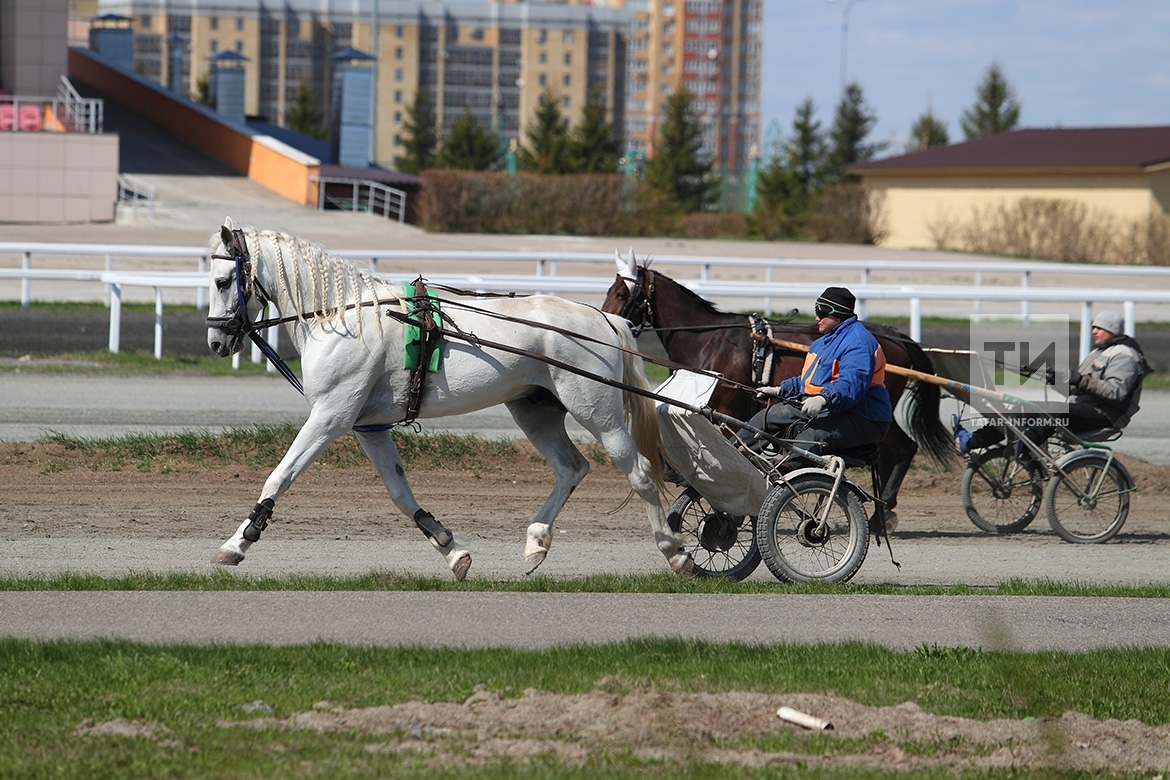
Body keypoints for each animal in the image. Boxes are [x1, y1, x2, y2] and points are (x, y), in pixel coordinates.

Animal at [208, 218, 692, 580]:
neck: (343, 316)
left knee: (641, 474)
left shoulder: (331, 415)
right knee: (571, 467)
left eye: (222, 280)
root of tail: (605, 318)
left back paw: (676, 551)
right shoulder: (367, 426)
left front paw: (237, 543)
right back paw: (536, 541)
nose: (216, 341)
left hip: (598, 411)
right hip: (534, 409)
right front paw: (450, 547)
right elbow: (400, 493)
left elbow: (280, 476)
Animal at [599, 261, 954, 523]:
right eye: (611, 289)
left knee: (903, 447)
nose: (604, 320)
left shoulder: (726, 408)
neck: (709, 339)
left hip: (879, 412)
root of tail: (897, 336)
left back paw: (885, 513)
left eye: (622, 293)